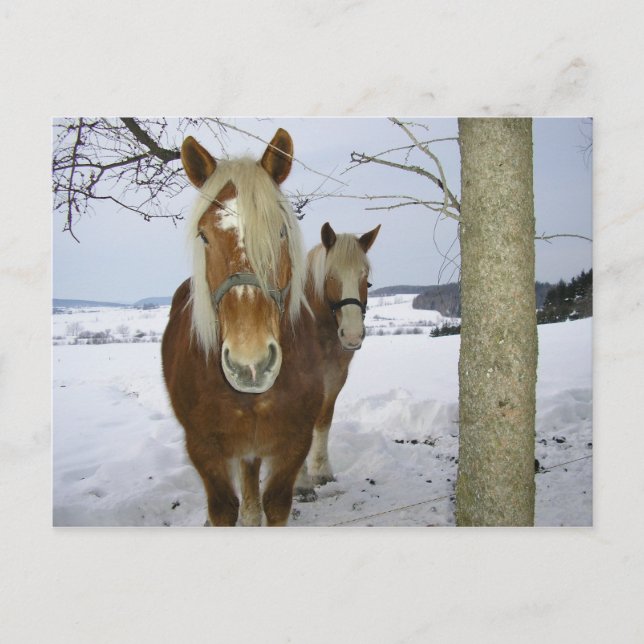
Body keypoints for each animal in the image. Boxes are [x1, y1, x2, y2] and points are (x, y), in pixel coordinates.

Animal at [162, 129, 324, 526]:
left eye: (281, 231)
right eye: (204, 235)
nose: (250, 364)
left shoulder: (294, 444)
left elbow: (275, 504)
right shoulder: (204, 451)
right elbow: (223, 509)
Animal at [294, 221, 381, 500]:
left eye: (364, 275)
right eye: (331, 275)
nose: (352, 334)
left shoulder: (333, 380)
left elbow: (323, 422)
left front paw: (321, 473)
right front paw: (300, 483)